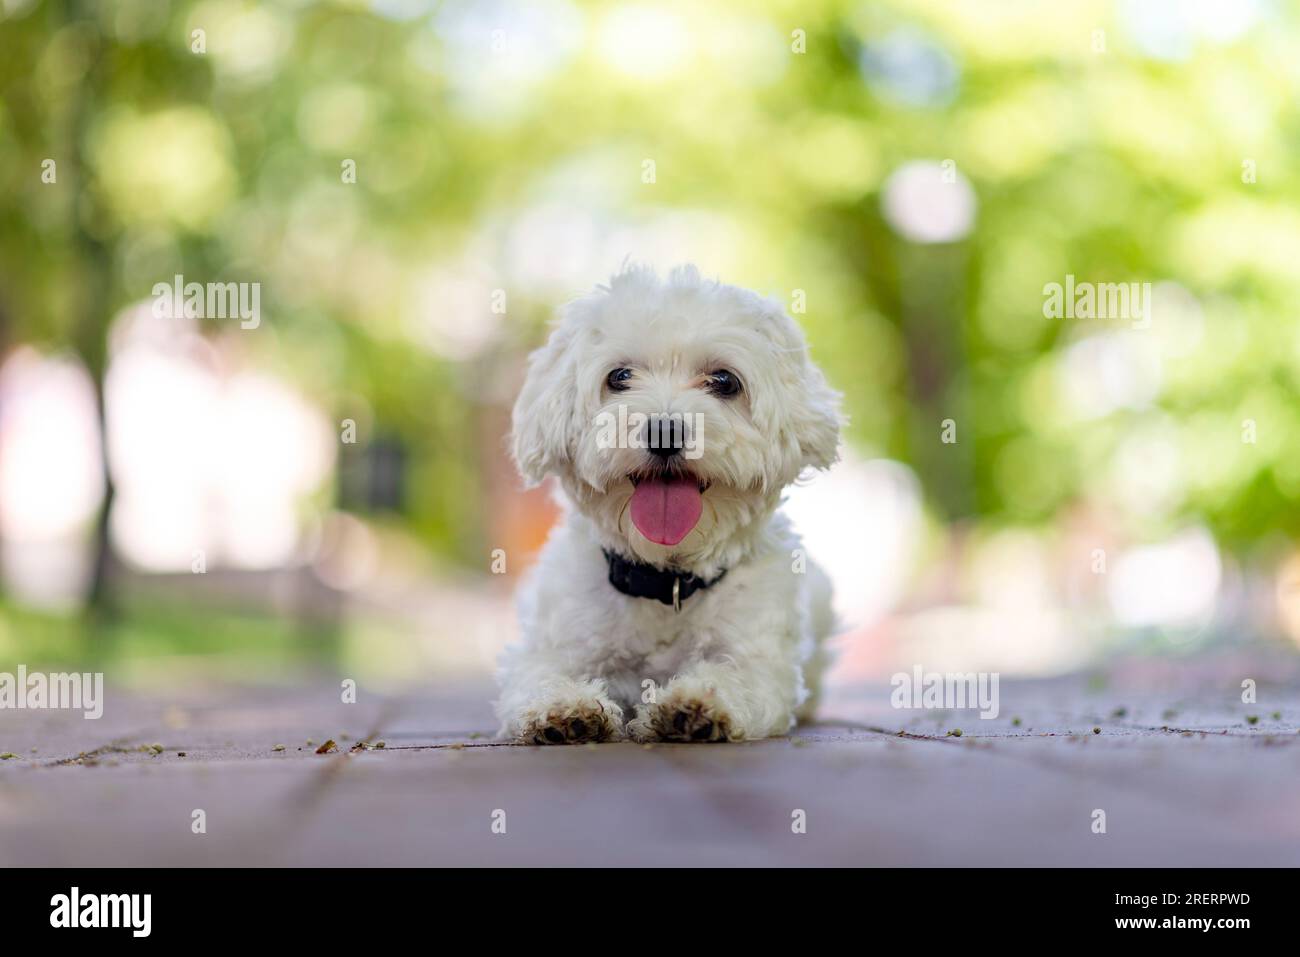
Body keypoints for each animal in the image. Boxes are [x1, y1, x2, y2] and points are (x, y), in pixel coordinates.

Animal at [493, 265, 842, 743]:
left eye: (724, 381)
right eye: (619, 376)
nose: (664, 430)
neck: (665, 578)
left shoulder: (761, 661)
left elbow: (738, 678)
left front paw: (695, 705)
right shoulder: (554, 644)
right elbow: (539, 675)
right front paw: (564, 706)